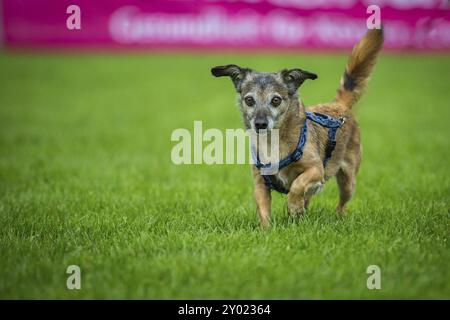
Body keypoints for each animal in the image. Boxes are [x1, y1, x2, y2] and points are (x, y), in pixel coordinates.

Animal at [211, 28, 384, 228]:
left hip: (348, 181)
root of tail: (339, 105)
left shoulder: (316, 170)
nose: (260, 124)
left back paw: (334, 216)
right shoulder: (260, 183)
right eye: (249, 100)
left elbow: (297, 185)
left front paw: (294, 207)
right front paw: (266, 230)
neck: (273, 142)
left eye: (275, 100)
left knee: (341, 202)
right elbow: (264, 210)